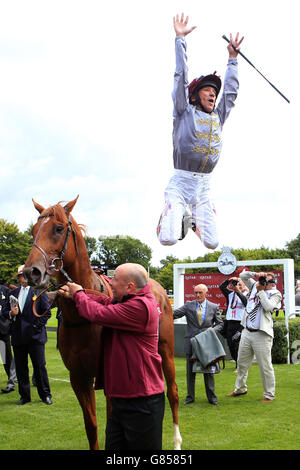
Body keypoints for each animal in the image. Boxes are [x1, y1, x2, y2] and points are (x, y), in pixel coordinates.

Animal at [22, 196, 182, 450]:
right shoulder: (79, 377)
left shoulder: (110, 380)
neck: (81, 316)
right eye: (33, 231)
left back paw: (176, 441)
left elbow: (110, 425)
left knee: (173, 393)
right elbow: (92, 426)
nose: (31, 272)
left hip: (166, 350)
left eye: (58, 228)